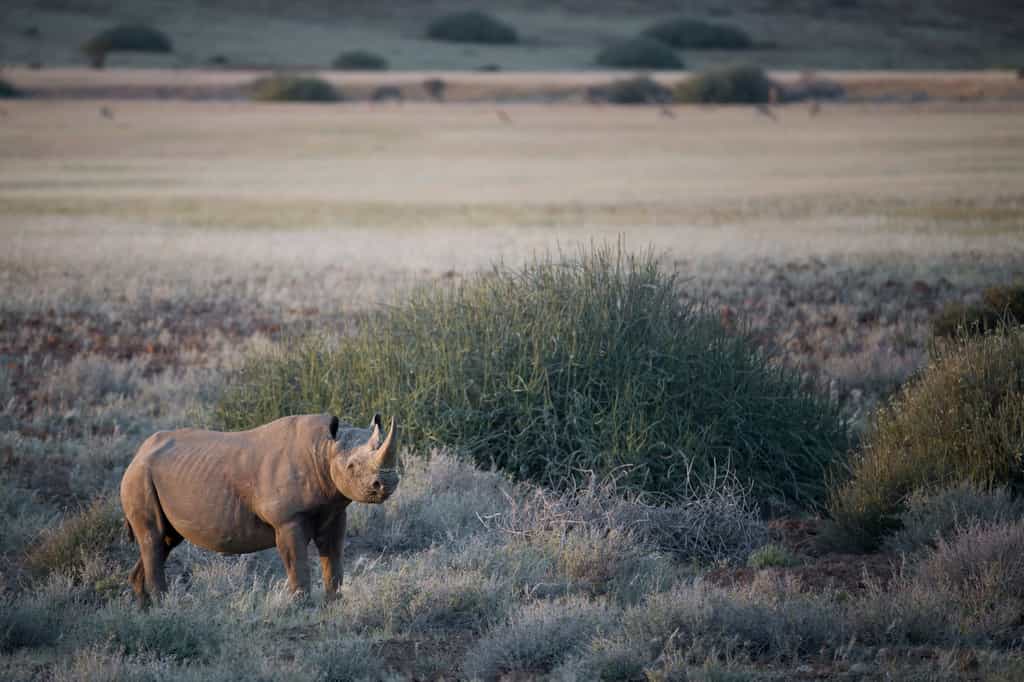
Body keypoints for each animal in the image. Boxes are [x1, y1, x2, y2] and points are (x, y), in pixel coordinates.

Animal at [120, 413, 399, 605]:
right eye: (351, 466)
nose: (386, 483)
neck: (325, 449)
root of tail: (137, 453)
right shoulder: (287, 519)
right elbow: (297, 562)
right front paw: (302, 605)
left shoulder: (334, 511)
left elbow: (334, 557)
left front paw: (334, 602)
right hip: (139, 477)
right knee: (153, 537)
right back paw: (164, 606)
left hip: (155, 475)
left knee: (164, 541)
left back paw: (146, 609)